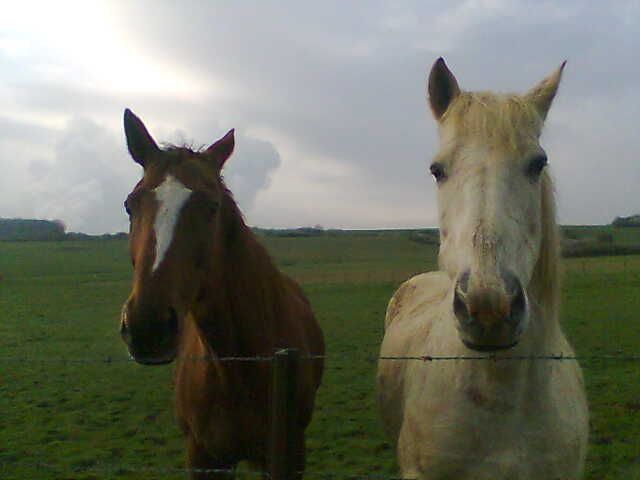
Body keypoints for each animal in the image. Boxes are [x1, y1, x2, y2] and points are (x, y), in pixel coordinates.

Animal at [119, 109, 325, 479]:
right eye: (130, 205)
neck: (238, 370)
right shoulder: (203, 458)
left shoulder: (288, 458)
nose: (148, 326)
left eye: (212, 206)